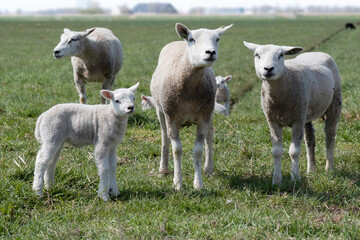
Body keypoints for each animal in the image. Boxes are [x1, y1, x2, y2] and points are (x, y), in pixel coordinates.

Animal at [150, 23, 232, 190]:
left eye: (217, 39)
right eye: (192, 39)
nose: (210, 52)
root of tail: (178, 42)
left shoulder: (204, 116)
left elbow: (198, 150)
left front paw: (198, 184)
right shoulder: (171, 116)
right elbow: (177, 150)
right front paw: (177, 183)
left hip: (209, 111)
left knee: (210, 134)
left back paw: (209, 168)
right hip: (160, 110)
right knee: (164, 137)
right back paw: (163, 169)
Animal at [243, 41, 342, 185]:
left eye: (281, 55)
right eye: (257, 55)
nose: (268, 69)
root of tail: (316, 52)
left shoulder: (297, 120)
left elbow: (294, 151)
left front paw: (295, 178)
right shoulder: (272, 121)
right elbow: (276, 151)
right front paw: (276, 181)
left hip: (334, 102)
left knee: (330, 136)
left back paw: (330, 168)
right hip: (305, 114)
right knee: (310, 140)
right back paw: (311, 169)